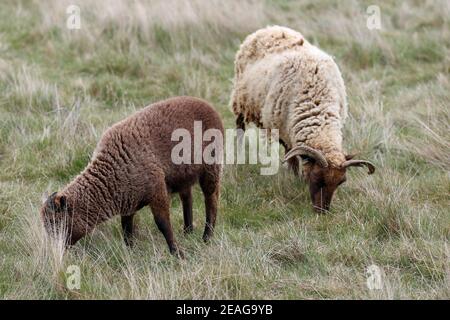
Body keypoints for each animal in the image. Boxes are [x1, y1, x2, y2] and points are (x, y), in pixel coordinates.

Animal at [40, 95, 223, 258]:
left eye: (57, 222)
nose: (56, 251)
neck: (111, 173)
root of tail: (207, 105)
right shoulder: (128, 202)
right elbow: (127, 228)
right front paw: (130, 251)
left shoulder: (157, 192)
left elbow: (163, 224)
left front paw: (177, 253)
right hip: (183, 175)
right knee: (187, 198)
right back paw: (188, 231)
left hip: (211, 167)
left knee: (211, 199)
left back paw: (206, 237)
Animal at [232, 26, 376, 212]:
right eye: (316, 178)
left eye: (340, 182)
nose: (322, 212)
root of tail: (271, 28)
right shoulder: (285, 129)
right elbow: (291, 155)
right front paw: (295, 177)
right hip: (240, 101)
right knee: (240, 128)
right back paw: (238, 155)